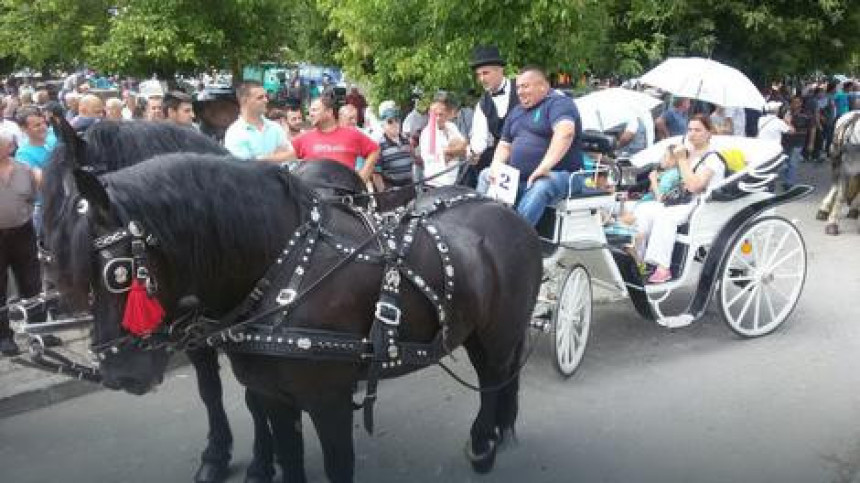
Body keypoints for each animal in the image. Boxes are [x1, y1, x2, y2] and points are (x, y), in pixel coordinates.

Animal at [42, 120, 282, 483]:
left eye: (76, 206)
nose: (44, 256)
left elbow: (256, 396)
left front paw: (261, 463)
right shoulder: (195, 340)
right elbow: (210, 390)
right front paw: (216, 454)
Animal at [52, 149, 536, 482]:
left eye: (117, 273)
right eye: (77, 280)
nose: (120, 374)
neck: (286, 269)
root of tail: (503, 210)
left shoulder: (329, 401)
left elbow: (338, 466)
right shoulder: (274, 397)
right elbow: (288, 455)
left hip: (498, 333)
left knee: (494, 379)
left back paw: (483, 445)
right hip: (476, 332)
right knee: (497, 378)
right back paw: (496, 432)